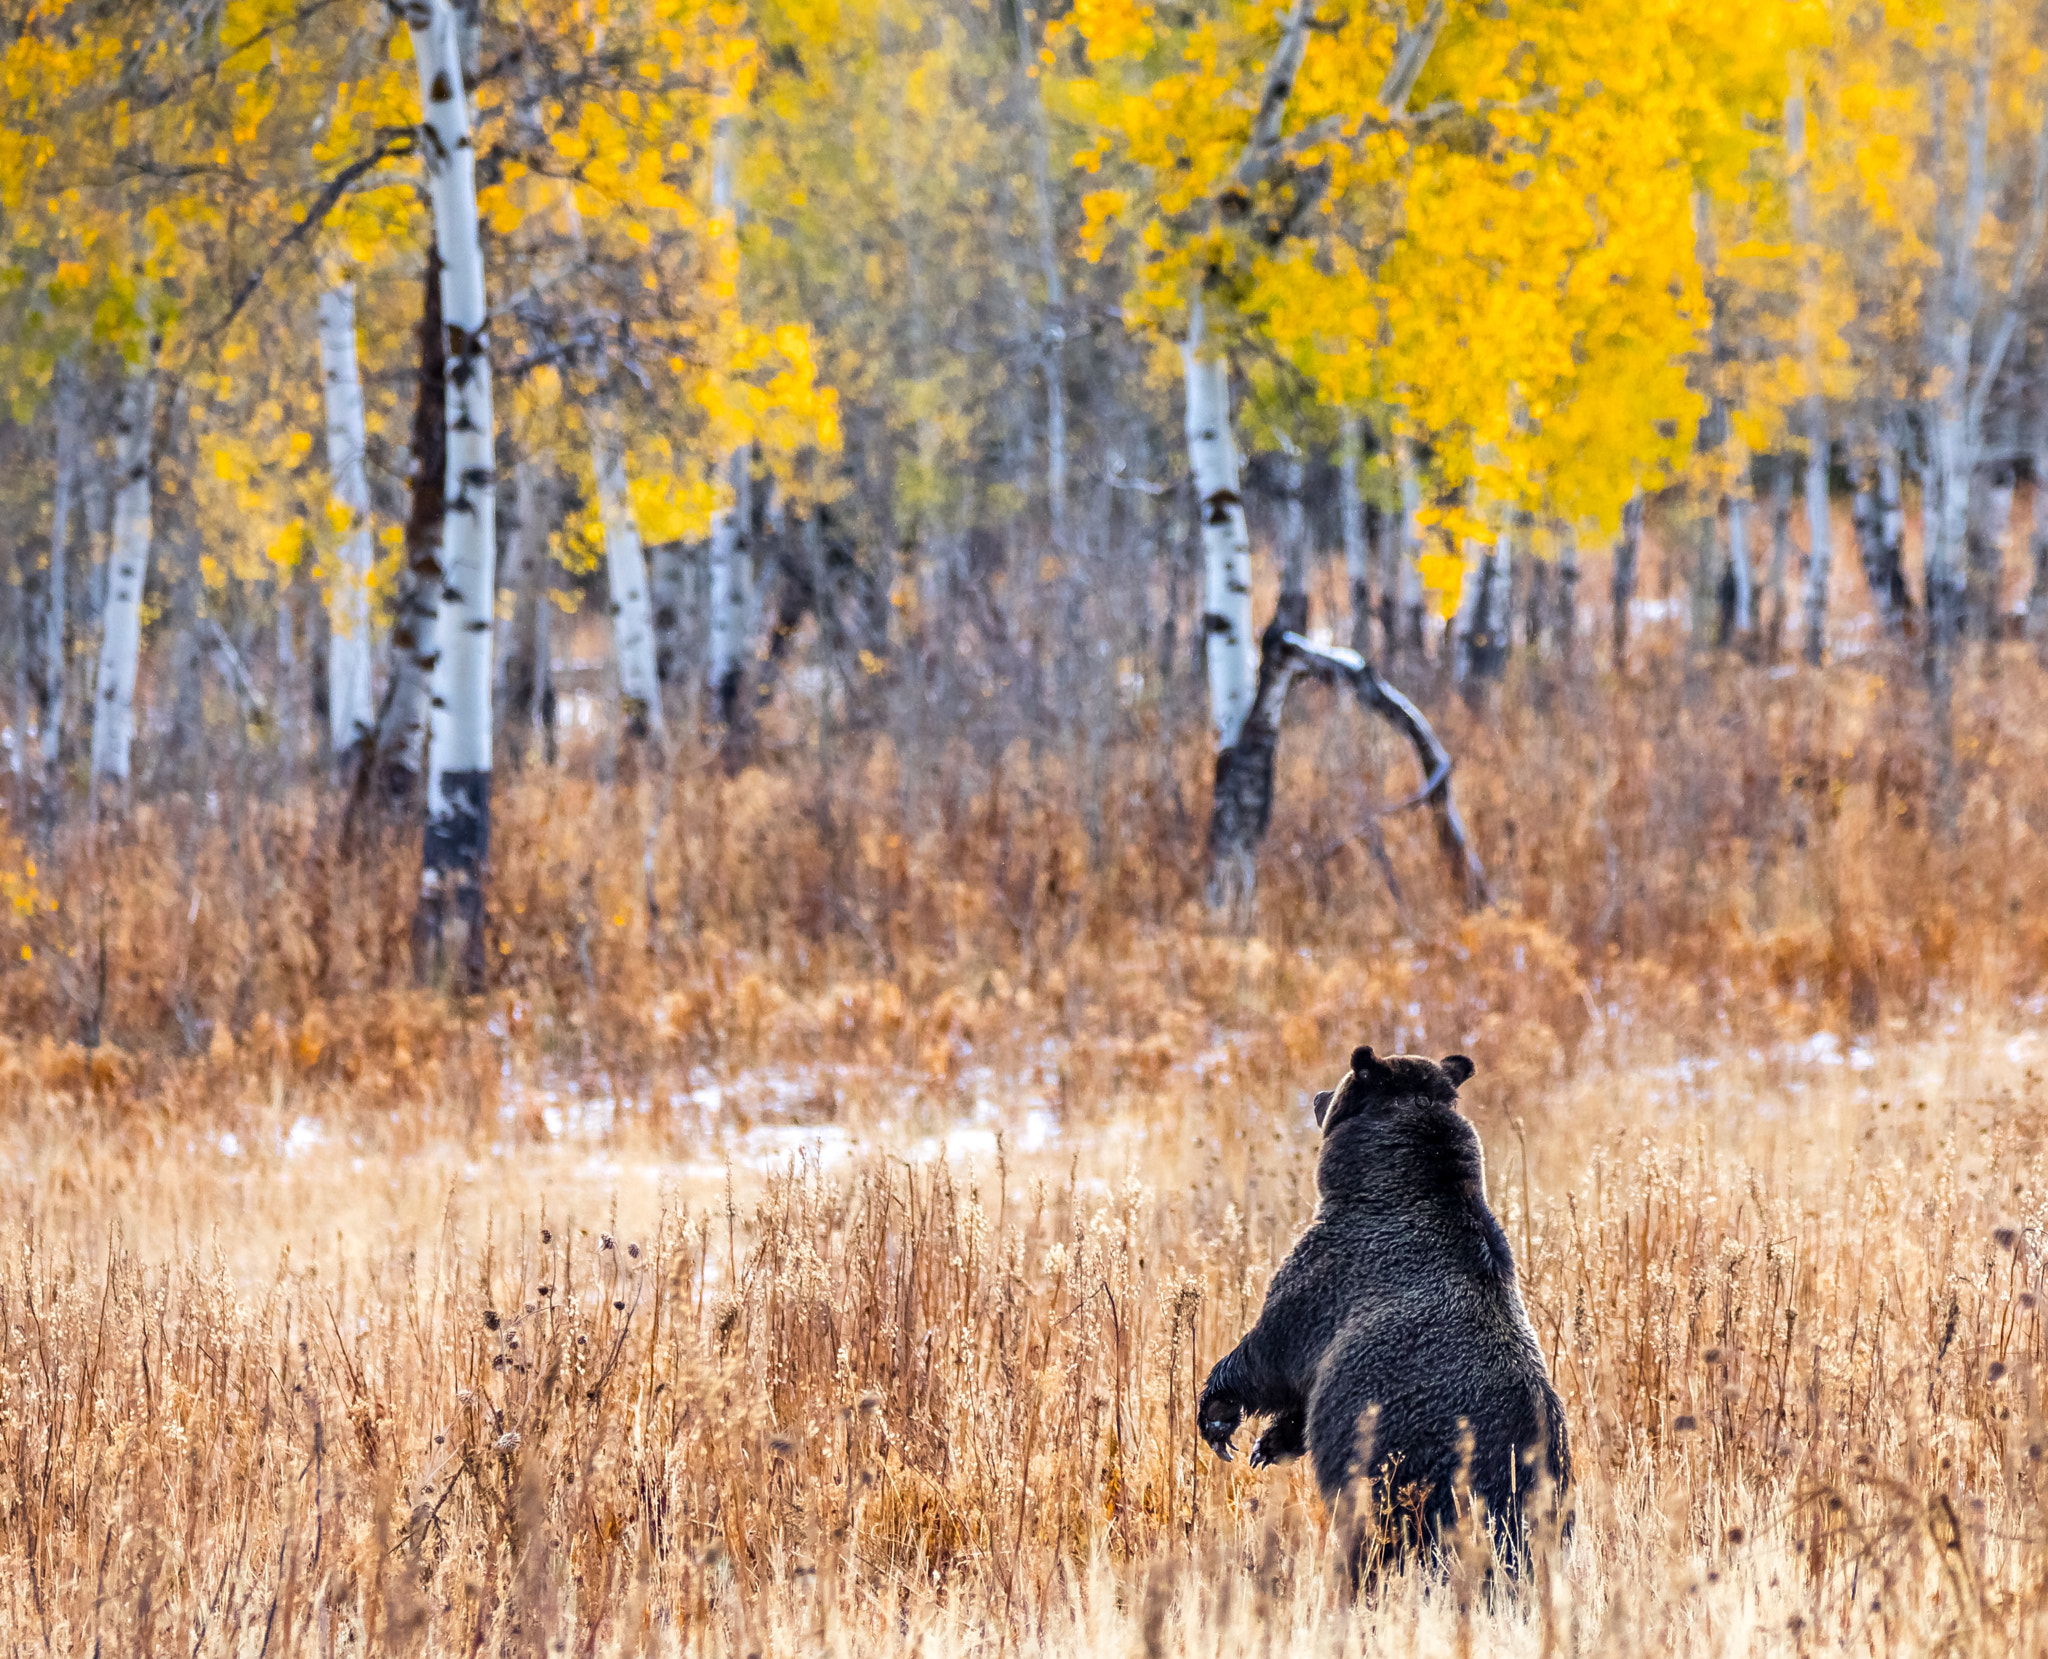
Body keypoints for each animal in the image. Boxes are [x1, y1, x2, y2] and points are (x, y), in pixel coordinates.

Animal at [1196, 1046, 1569, 1573]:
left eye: (1342, 1082)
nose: (1316, 1095)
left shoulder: (1329, 1277)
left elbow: (1271, 1351)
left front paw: (1219, 1415)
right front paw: (1271, 1442)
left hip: (1413, 1473)